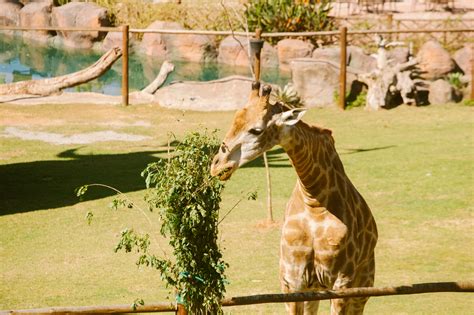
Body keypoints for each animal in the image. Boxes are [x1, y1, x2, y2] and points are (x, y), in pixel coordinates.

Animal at [211, 82, 378, 314]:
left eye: (256, 130)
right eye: (234, 118)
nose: (217, 166)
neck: (314, 201)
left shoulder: (342, 282)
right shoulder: (292, 279)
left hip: (363, 284)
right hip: (315, 288)